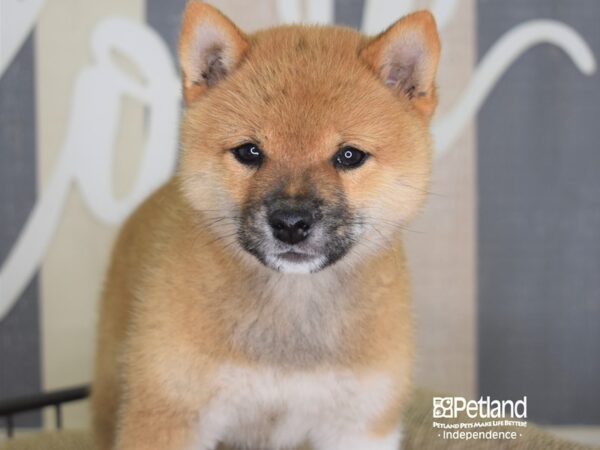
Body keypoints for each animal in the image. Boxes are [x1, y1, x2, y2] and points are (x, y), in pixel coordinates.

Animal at [92, 1, 440, 448]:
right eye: (249, 151)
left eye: (349, 156)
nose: (291, 223)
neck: (291, 309)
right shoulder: (170, 417)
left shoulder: (359, 425)